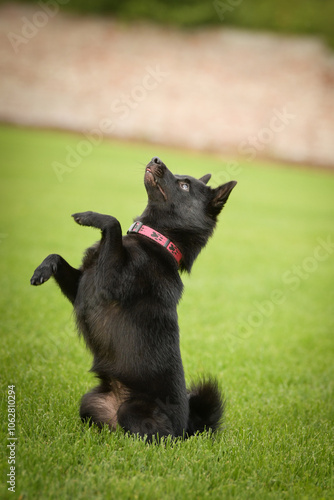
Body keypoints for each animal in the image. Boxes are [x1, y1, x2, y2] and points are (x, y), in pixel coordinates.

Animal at [30, 157, 235, 442]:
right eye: (181, 177)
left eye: (184, 185)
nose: (156, 159)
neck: (155, 241)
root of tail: (186, 430)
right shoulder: (84, 286)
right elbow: (57, 257)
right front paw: (41, 271)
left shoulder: (108, 282)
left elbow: (113, 222)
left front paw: (89, 216)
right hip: (90, 401)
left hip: (133, 411)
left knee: (146, 437)